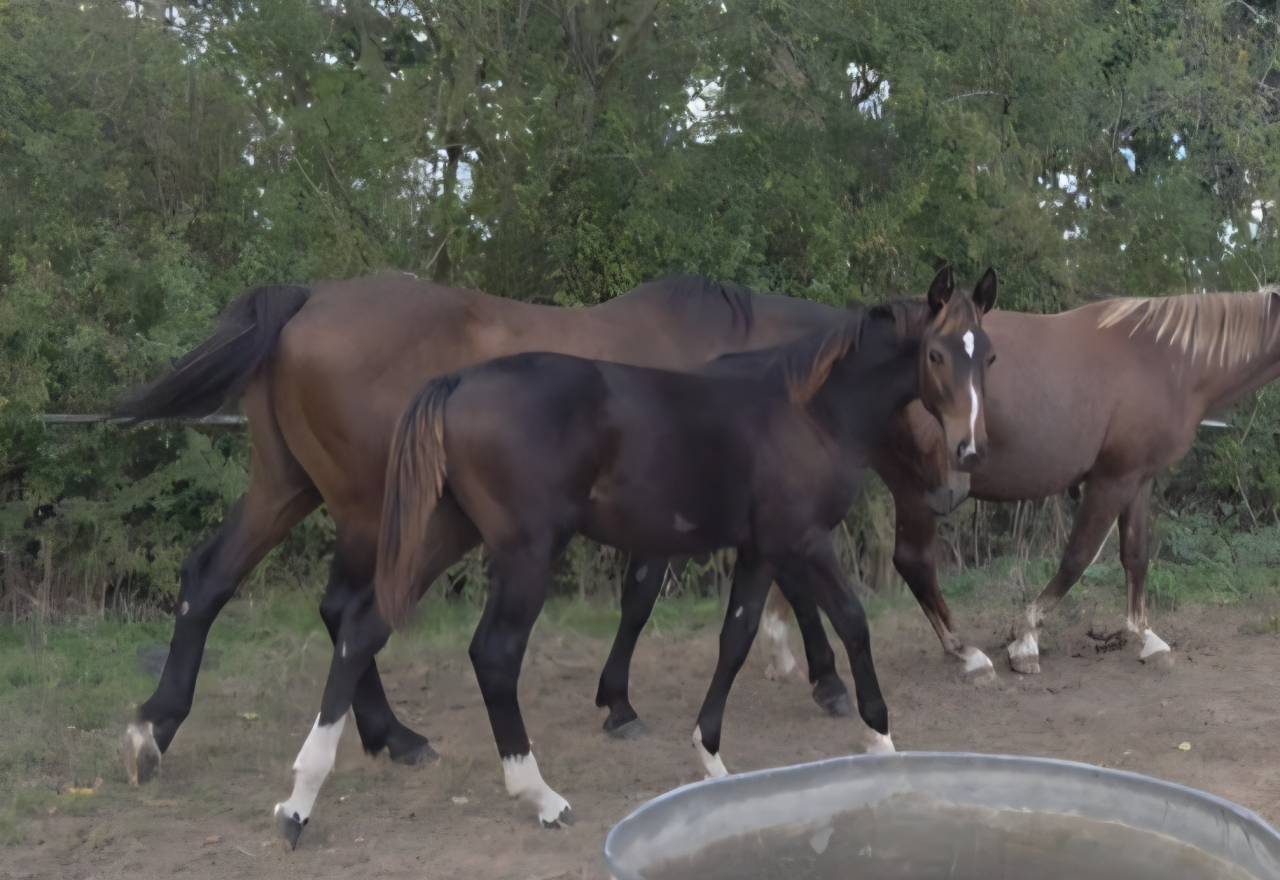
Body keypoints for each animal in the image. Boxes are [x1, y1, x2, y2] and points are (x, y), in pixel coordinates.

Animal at [115, 269, 972, 787]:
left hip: (287, 486)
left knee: (211, 580)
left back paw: (159, 726)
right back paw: (388, 734)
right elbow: (661, 598)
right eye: (935, 387)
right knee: (346, 610)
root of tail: (306, 302)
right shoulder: (703, 518)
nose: (956, 484)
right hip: (365, 508)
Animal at [754, 287, 1280, 690]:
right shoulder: (1110, 480)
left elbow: (1135, 554)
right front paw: (1024, 640)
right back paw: (966, 654)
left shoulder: (1138, 478)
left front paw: (1145, 638)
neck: (1166, 359)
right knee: (913, 561)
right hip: (914, 489)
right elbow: (1077, 558)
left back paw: (782, 652)